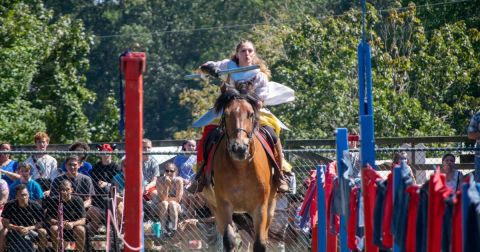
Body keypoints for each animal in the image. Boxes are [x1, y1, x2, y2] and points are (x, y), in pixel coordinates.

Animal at [202, 87, 278, 252]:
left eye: (250, 114)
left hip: (270, 207)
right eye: (226, 114)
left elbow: (260, 243)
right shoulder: (223, 205)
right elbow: (229, 240)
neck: (241, 168)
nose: (239, 148)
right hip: (215, 208)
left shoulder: (260, 207)